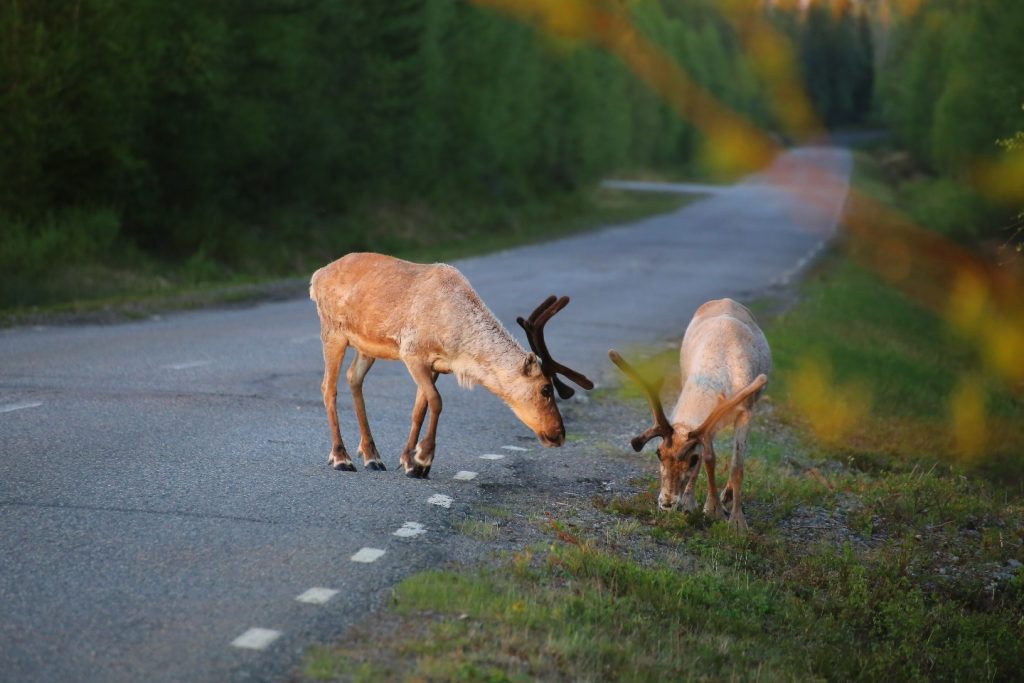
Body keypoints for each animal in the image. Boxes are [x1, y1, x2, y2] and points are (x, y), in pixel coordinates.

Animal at [309, 252, 593, 478]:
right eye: (546, 389)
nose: (559, 434)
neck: (459, 347)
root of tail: (317, 275)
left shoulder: (436, 365)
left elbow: (419, 409)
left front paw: (408, 461)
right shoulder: (412, 352)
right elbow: (436, 401)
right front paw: (423, 460)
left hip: (366, 346)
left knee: (353, 378)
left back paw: (372, 456)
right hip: (332, 332)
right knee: (327, 388)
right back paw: (341, 458)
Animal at [609, 298, 770, 531]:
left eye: (691, 460)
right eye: (658, 453)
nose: (667, 503)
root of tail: (726, 299)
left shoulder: (745, 411)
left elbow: (737, 466)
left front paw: (736, 521)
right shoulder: (707, 425)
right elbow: (710, 458)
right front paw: (703, 507)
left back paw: (727, 496)